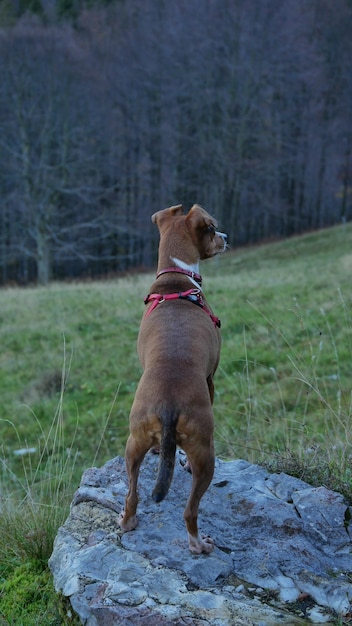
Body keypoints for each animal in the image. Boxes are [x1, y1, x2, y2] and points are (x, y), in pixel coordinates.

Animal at [119, 204, 227, 552]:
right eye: (211, 229)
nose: (226, 237)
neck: (175, 279)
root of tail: (168, 407)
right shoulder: (211, 378)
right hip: (205, 453)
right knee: (190, 510)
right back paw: (198, 543)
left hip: (133, 443)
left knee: (132, 494)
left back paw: (127, 521)